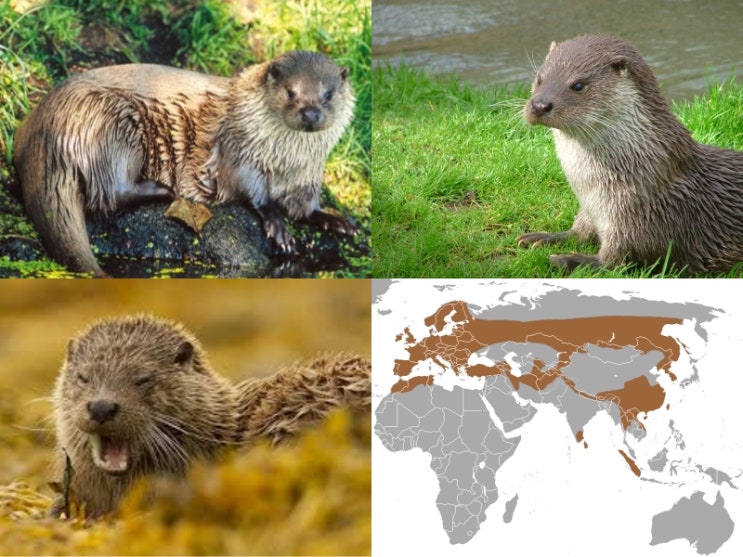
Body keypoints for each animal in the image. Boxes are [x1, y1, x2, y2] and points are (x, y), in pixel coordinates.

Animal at [13, 51, 357, 277]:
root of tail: (44, 126)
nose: (311, 113)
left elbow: (307, 206)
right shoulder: (239, 149)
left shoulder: (309, 175)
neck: (287, 162)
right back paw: (163, 190)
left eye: (328, 95)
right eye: (290, 92)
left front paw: (333, 219)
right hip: (113, 124)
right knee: (111, 192)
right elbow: (251, 190)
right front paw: (277, 223)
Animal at [518, 35, 743, 273]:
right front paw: (543, 237)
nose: (540, 105)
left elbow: (616, 261)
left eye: (578, 85)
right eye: (539, 79)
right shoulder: (592, 212)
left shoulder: (642, 221)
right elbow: (579, 233)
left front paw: (566, 260)